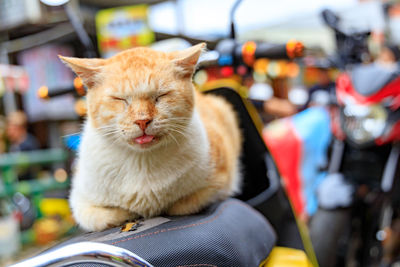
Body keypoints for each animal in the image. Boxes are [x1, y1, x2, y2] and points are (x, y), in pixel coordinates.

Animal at [59, 43, 241, 232]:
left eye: (161, 96)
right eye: (120, 99)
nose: (142, 120)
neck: (141, 162)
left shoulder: (222, 180)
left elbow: (182, 205)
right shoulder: (80, 202)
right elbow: (109, 215)